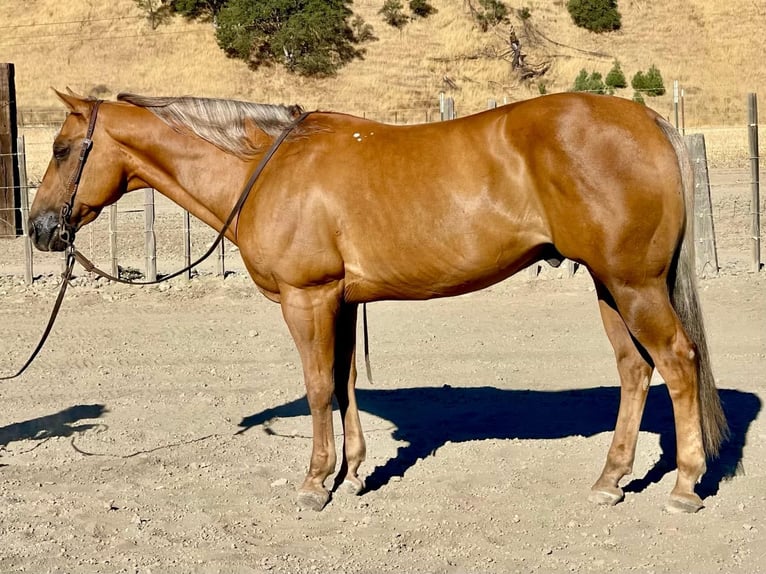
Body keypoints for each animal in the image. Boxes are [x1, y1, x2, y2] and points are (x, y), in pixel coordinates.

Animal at [28, 91, 728, 516]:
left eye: (62, 150)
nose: (37, 229)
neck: (266, 169)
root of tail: (648, 122)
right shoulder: (337, 300)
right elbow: (342, 384)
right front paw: (355, 471)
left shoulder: (305, 299)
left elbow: (317, 388)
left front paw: (315, 483)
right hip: (610, 285)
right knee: (635, 371)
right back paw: (611, 481)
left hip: (634, 285)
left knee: (679, 362)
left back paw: (684, 486)